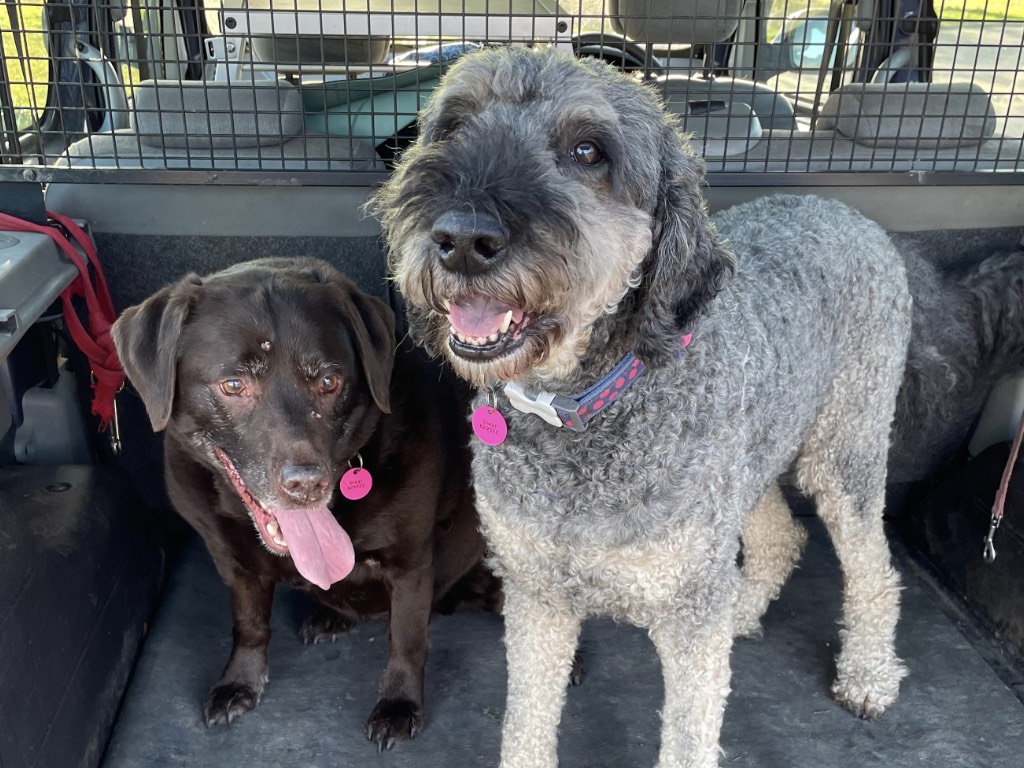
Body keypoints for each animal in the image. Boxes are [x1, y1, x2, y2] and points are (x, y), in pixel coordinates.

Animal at [114, 259, 489, 753]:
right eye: (233, 384)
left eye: (329, 381)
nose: (308, 484)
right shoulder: (230, 559)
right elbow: (249, 624)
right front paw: (239, 681)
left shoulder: (411, 563)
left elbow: (406, 641)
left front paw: (398, 705)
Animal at [372, 46, 909, 765]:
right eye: (454, 126)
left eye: (588, 151)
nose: (461, 237)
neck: (579, 407)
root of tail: (845, 213)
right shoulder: (537, 595)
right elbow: (527, 718)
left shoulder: (688, 616)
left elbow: (688, 735)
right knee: (781, 534)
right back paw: (746, 609)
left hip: (844, 445)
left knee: (872, 564)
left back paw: (870, 673)